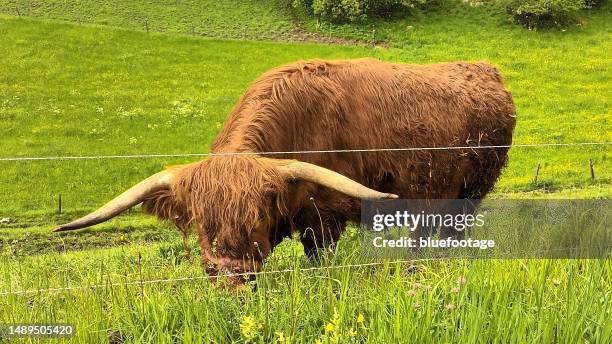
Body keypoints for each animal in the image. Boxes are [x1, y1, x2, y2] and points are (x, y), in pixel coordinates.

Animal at [53, 57, 516, 276]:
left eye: (257, 217)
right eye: (202, 223)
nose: (231, 275)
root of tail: (486, 70)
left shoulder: (323, 215)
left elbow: (318, 257)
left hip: (472, 192)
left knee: (449, 233)